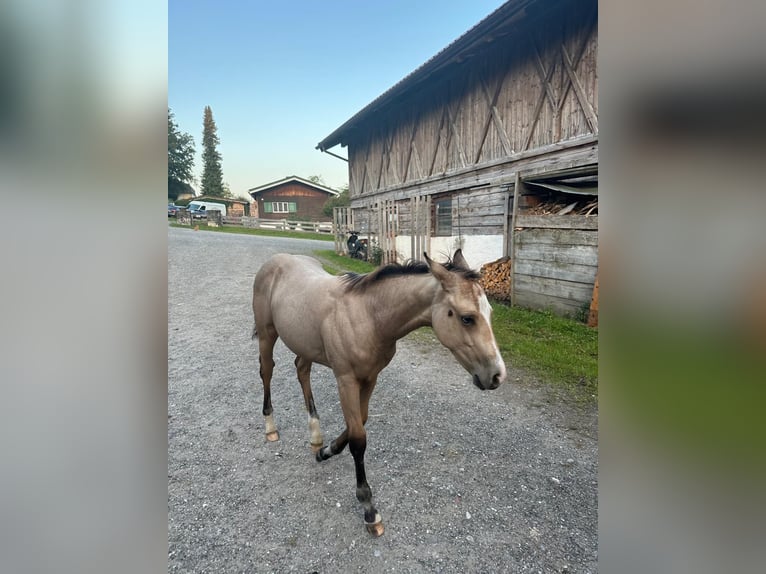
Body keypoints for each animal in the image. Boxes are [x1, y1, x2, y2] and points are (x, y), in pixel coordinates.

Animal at [251, 249, 506, 536]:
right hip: (267, 334)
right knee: (267, 371)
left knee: (301, 370)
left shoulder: (370, 377)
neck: (368, 317)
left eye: (489, 312)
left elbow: (359, 422)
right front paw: (369, 508)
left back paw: (316, 436)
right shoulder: (346, 380)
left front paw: (326, 451)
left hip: (304, 344)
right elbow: (358, 439)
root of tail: (276, 260)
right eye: (467, 318)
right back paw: (270, 427)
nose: (497, 375)